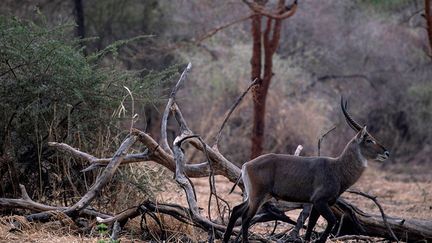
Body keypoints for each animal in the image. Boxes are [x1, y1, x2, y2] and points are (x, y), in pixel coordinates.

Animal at [224, 98, 390, 242]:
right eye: (369, 140)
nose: (387, 152)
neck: (337, 168)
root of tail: (246, 164)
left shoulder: (316, 205)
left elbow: (310, 228)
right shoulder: (320, 202)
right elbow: (332, 222)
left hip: (258, 196)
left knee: (236, 210)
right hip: (258, 196)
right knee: (246, 218)